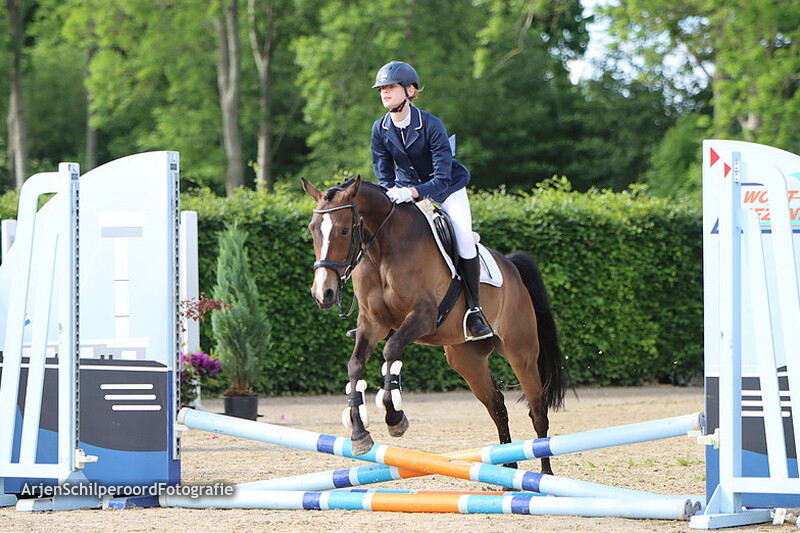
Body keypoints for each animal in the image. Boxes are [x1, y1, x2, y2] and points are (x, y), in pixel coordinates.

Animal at [301, 176, 567, 475]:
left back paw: (545, 472)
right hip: (466, 359)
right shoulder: (372, 323)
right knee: (497, 405)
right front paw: (360, 434)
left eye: (345, 230)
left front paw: (395, 417)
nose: (323, 294)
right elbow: (355, 366)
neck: (381, 250)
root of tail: (511, 266)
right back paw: (507, 466)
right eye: (312, 229)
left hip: (521, 352)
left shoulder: (423, 316)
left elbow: (391, 351)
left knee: (538, 408)